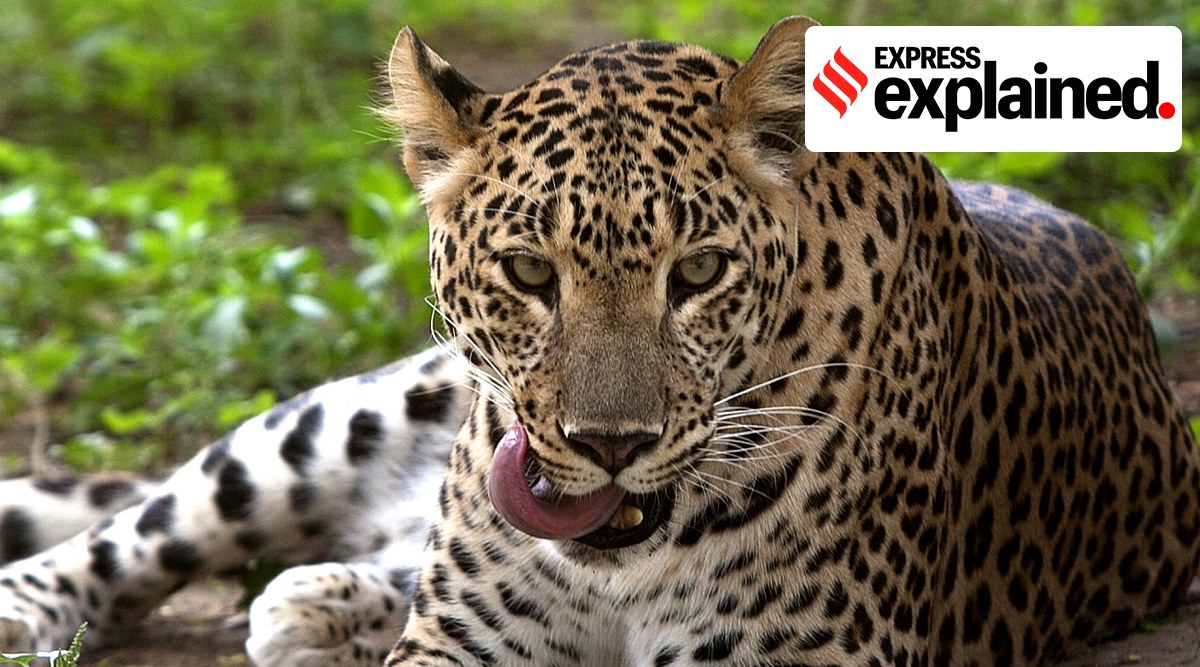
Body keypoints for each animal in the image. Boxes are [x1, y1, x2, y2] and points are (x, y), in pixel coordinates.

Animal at [0, 14, 1195, 667]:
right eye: (531, 274)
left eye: (698, 273)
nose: (610, 444)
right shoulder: (456, 643)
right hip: (339, 421)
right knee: (141, 527)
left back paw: (311, 603)